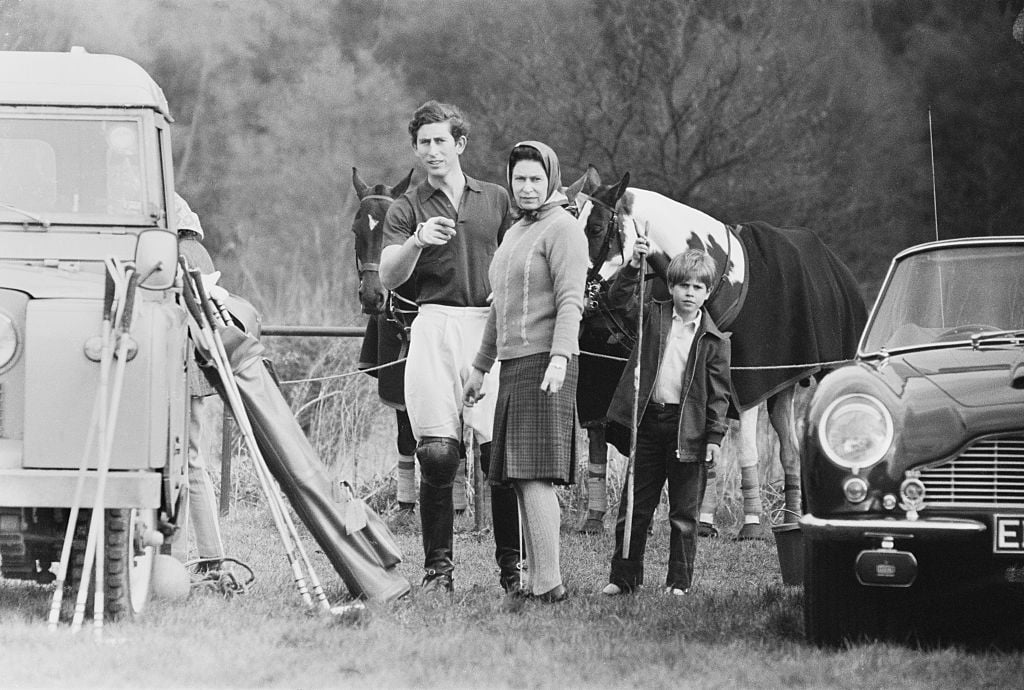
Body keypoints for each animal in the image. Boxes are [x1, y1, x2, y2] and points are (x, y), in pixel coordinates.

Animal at [569, 164, 864, 532]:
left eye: (595, 228)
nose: (580, 296)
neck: (717, 275)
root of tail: (838, 268)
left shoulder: (746, 379)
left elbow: (746, 449)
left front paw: (751, 525)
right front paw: (703, 521)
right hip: (783, 389)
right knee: (790, 452)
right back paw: (791, 517)